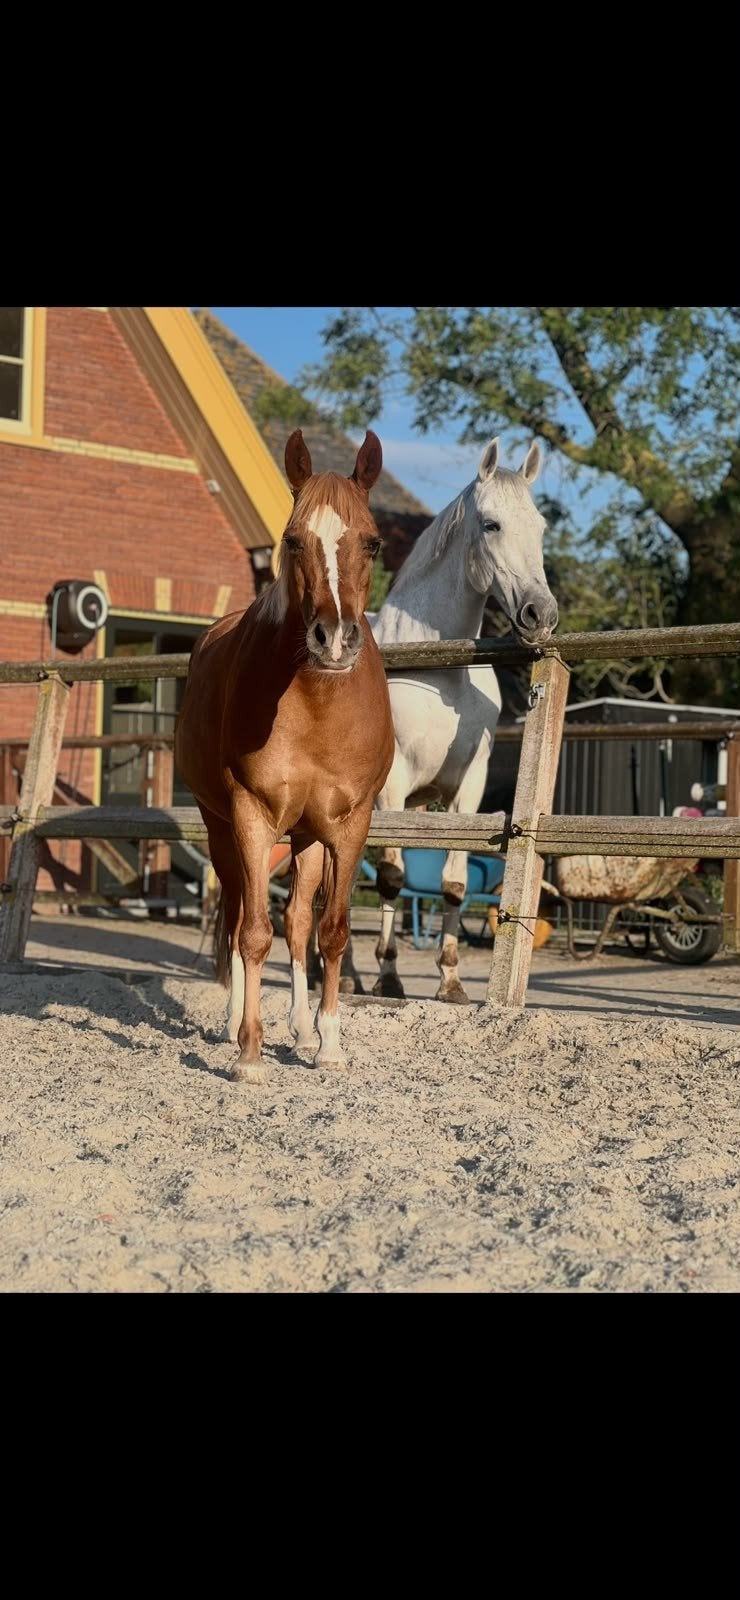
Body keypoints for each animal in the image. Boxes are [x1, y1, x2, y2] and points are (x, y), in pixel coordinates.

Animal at [175, 429, 395, 1084]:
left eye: (373, 541)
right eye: (293, 540)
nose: (334, 639)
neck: (317, 707)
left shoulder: (349, 826)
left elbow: (332, 931)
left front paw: (328, 1044)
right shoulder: (251, 816)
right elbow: (253, 933)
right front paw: (249, 1053)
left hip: (307, 836)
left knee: (298, 922)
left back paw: (299, 1027)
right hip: (225, 828)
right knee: (238, 915)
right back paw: (233, 1025)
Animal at [311, 436, 558, 1004]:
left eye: (540, 527)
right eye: (491, 524)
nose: (541, 614)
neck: (441, 672)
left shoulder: (468, 786)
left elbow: (453, 884)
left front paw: (450, 981)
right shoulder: (393, 784)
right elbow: (391, 880)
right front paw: (390, 976)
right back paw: (344, 974)